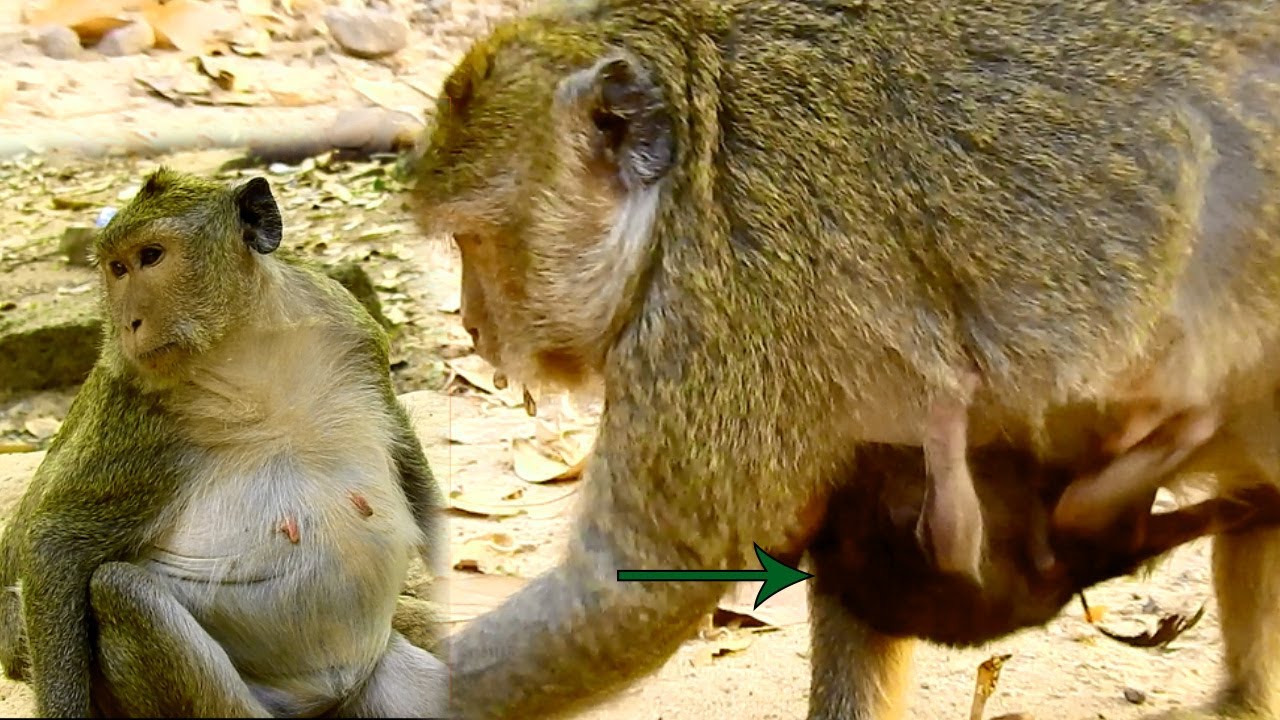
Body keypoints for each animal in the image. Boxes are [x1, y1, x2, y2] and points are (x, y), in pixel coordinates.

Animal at [0, 167, 449, 718]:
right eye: (117, 268)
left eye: (151, 256)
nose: (127, 323)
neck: (241, 346)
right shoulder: (133, 409)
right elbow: (54, 542)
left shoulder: (351, 327)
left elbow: (402, 448)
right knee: (120, 590)